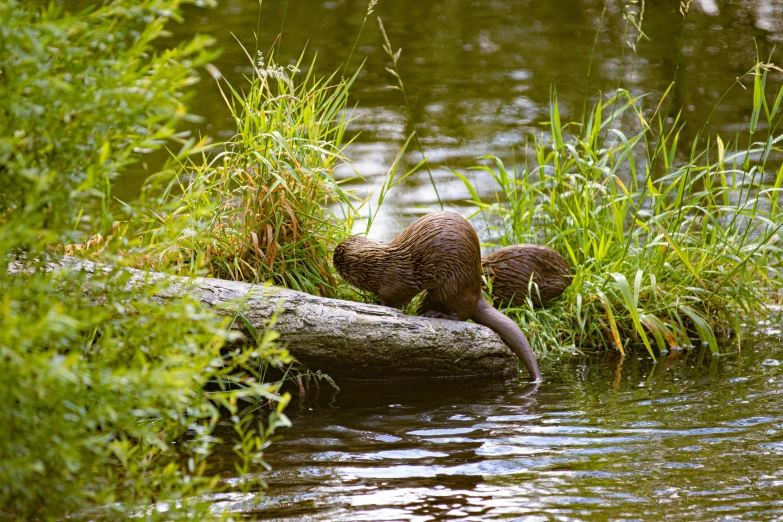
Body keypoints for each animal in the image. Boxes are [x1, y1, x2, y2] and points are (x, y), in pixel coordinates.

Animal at [334, 210, 544, 378]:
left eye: (337, 261)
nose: (333, 260)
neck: (381, 267)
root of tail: (476, 291)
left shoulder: (395, 284)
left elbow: (394, 300)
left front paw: (376, 304)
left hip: (452, 286)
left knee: (462, 313)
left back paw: (437, 314)